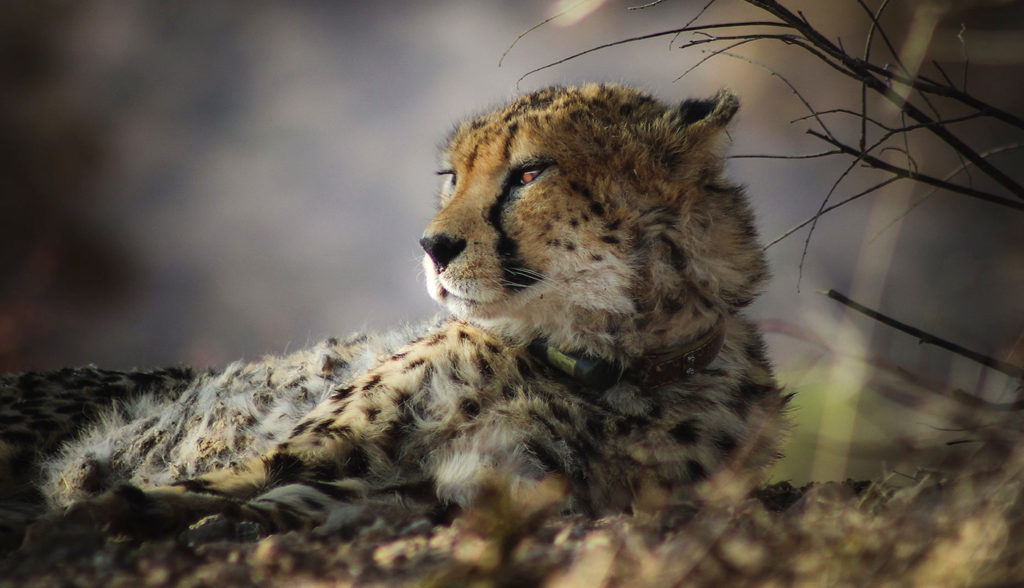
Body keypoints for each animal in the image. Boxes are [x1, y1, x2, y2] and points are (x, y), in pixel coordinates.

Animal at [0, 83, 788, 550]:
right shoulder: (319, 443)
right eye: (452, 176)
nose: (432, 246)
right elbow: (233, 475)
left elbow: (297, 500)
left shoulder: (456, 487)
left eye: (530, 173)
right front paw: (90, 513)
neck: (595, 360)